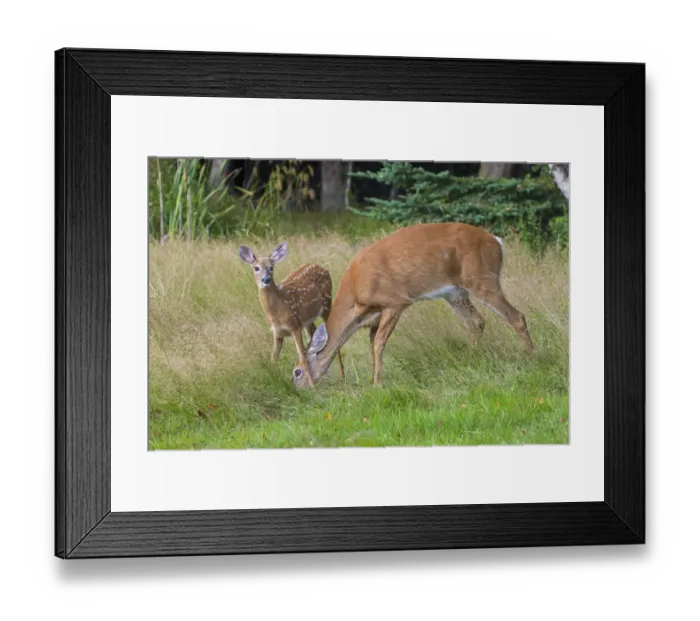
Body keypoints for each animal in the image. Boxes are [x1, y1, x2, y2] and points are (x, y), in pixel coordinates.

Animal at [239, 242, 344, 387]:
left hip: (327, 303)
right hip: (308, 320)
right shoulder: (277, 332)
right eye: (256, 268)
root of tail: (323, 267)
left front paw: (312, 386)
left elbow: (302, 357)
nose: (266, 279)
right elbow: (273, 358)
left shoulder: (295, 326)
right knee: (315, 335)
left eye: (271, 267)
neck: (278, 309)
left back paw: (341, 377)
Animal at [291, 222, 534, 388]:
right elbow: (372, 343)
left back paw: (531, 357)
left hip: (482, 277)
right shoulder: (373, 316)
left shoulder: (395, 301)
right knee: (476, 321)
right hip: (455, 293)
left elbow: (379, 343)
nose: (299, 389)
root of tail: (497, 242)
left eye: (297, 372)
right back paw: (471, 359)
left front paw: (377, 384)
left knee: (517, 316)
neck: (355, 297)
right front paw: (374, 378)